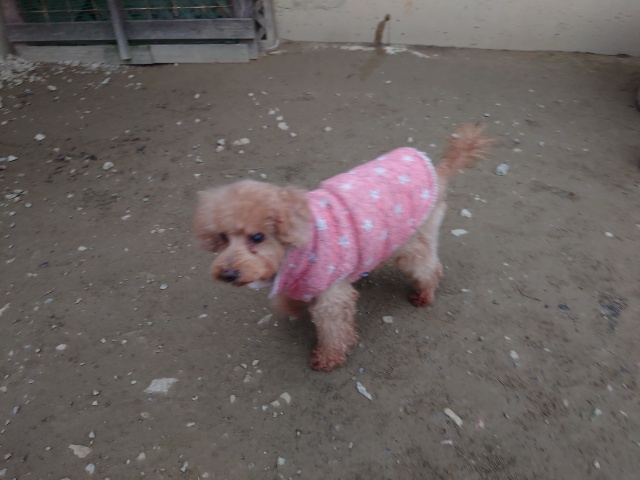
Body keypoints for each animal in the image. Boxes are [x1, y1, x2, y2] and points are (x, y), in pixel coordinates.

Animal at [194, 124, 493, 371]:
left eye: (257, 237)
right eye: (222, 237)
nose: (228, 274)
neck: (297, 246)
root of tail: (438, 173)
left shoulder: (332, 295)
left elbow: (333, 330)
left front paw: (327, 359)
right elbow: (286, 300)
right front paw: (293, 307)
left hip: (414, 242)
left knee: (428, 268)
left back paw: (424, 294)